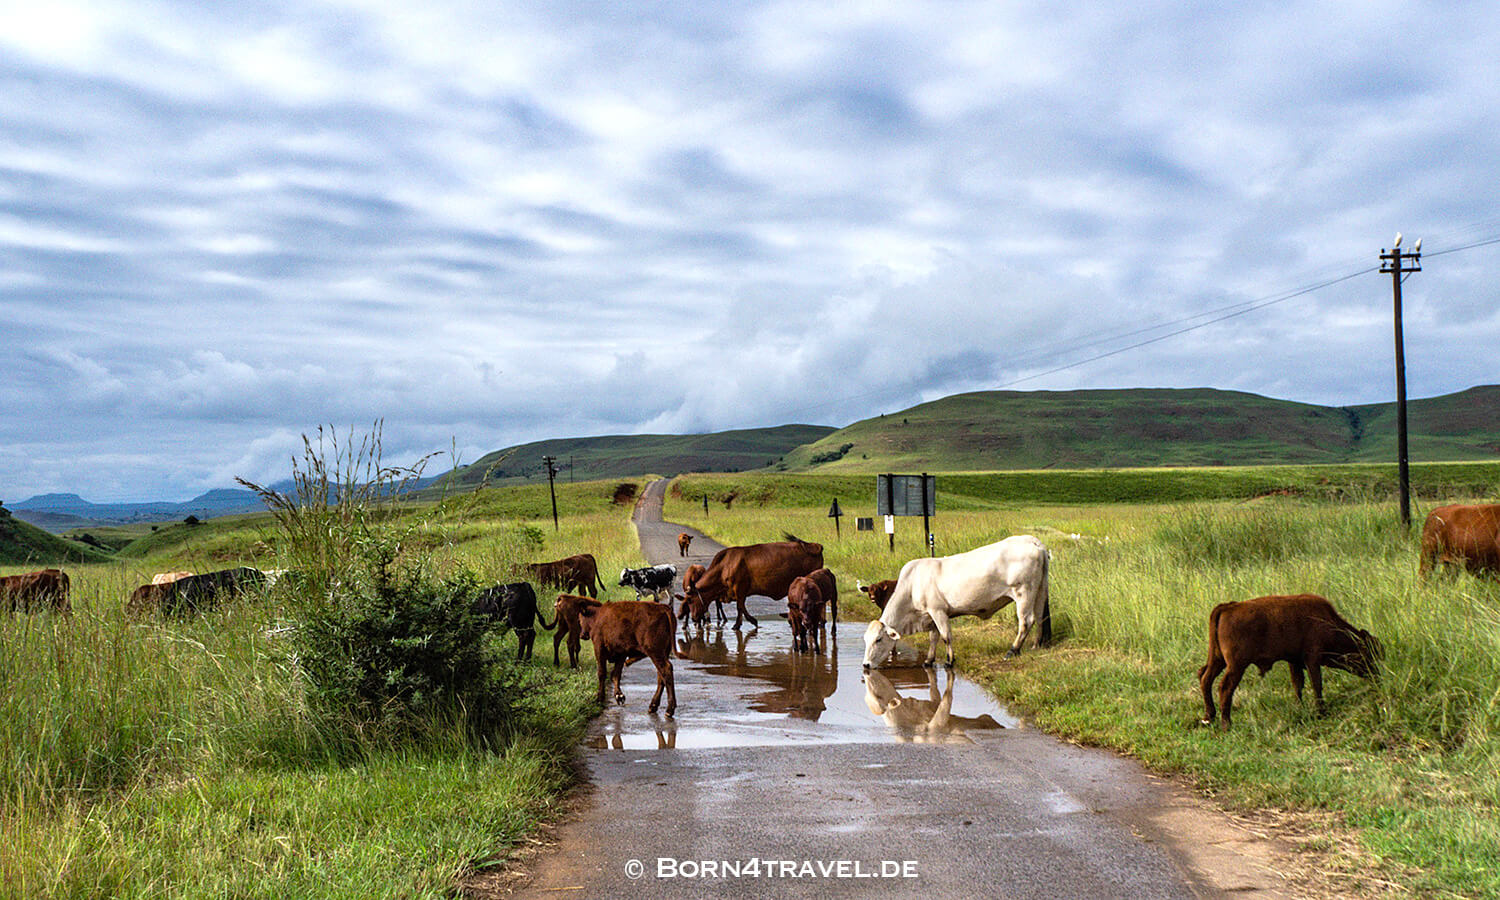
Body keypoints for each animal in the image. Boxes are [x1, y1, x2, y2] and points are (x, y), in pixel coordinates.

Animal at [684, 535, 824, 630]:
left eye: (690, 600)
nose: (693, 618)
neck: (724, 566)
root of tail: (814, 545)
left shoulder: (740, 588)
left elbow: (740, 607)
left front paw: (748, 622)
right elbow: (740, 608)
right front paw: (741, 623)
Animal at [863, 535, 1051, 670]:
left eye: (878, 639)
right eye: (866, 639)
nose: (865, 665)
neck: (912, 585)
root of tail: (1032, 541)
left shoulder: (938, 611)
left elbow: (946, 636)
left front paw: (949, 661)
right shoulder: (930, 615)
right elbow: (933, 637)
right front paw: (929, 660)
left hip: (1023, 593)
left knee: (1026, 621)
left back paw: (1013, 650)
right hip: (1040, 591)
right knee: (1040, 617)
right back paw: (1036, 645)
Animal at [1198, 593, 1381, 731]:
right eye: (1369, 655)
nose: (1378, 677)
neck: (1327, 621)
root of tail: (1228, 607)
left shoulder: (1294, 661)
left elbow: (1298, 685)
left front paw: (1299, 707)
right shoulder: (1312, 660)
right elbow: (1316, 684)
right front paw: (1320, 712)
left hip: (1218, 660)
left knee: (1205, 678)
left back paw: (1209, 717)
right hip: (1236, 666)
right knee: (1224, 687)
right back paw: (1226, 724)